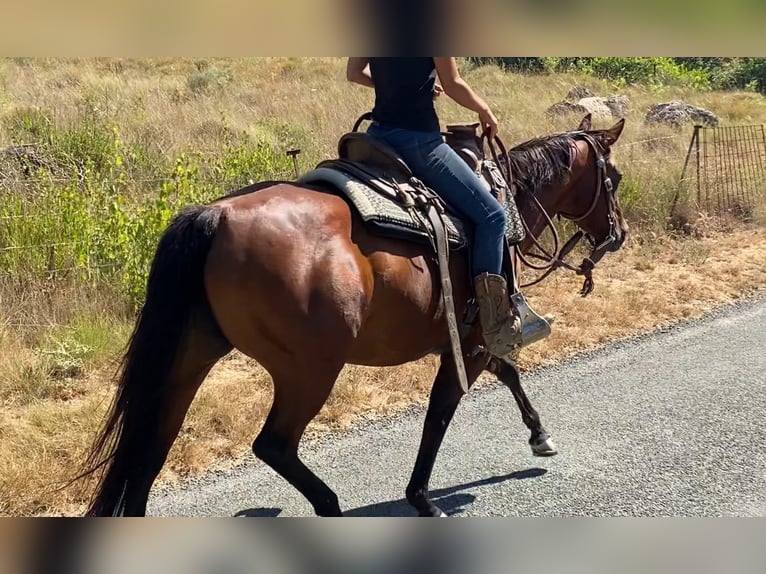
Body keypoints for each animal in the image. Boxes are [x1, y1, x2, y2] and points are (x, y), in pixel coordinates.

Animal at [77, 113, 628, 517]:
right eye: (615, 178)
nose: (617, 234)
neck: (502, 203)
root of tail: (214, 215)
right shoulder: (470, 341)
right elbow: (443, 409)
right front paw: (422, 499)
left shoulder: (469, 337)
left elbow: (508, 373)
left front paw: (540, 435)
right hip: (309, 370)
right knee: (274, 446)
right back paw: (330, 504)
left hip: (189, 359)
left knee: (149, 452)